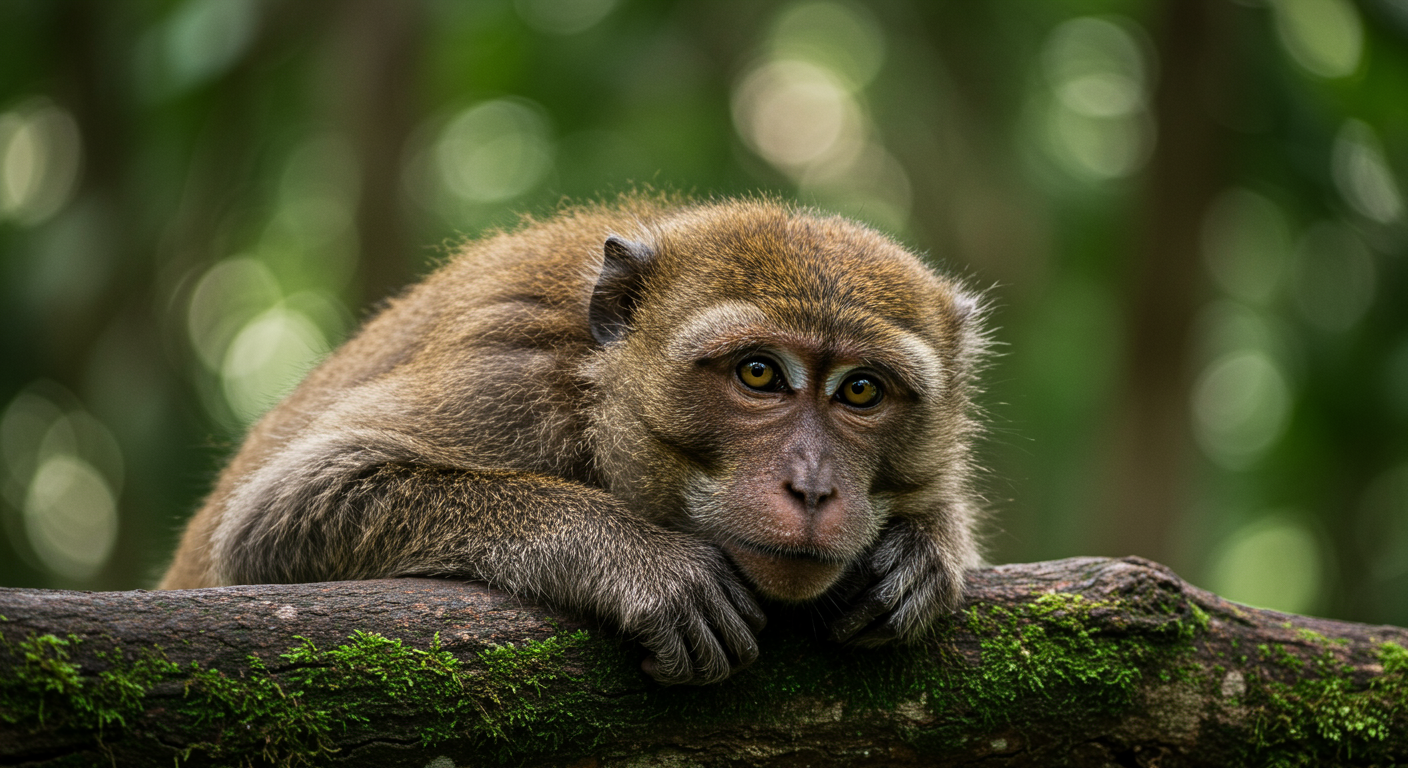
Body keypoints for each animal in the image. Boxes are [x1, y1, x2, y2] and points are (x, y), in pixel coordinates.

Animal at [161, 196, 989, 685]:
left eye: (861, 390)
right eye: (759, 373)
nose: (813, 488)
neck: (596, 387)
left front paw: (928, 544)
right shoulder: (510, 379)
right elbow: (278, 516)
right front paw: (638, 559)